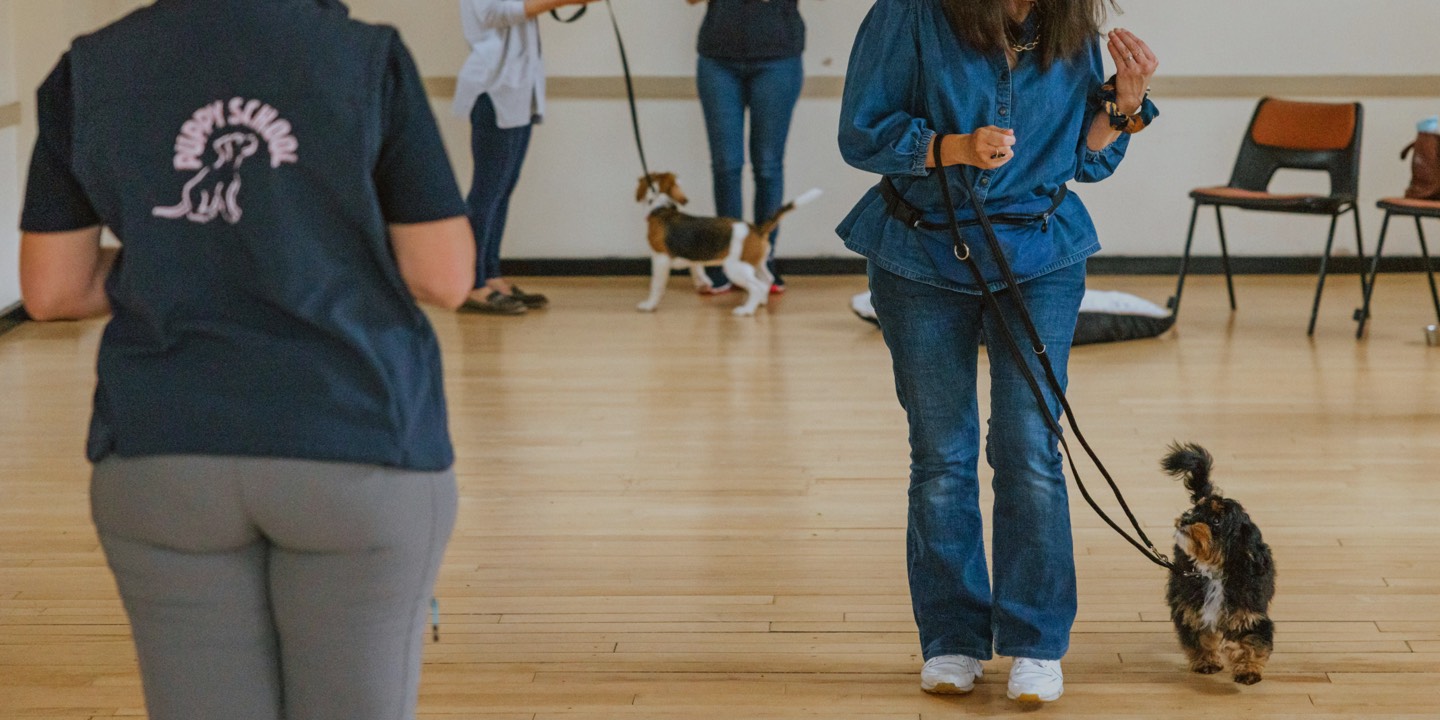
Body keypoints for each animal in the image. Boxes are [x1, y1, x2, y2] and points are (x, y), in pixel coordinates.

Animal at [633, 172, 823, 316]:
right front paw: (704, 282)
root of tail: (757, 228)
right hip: (756, 264)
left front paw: (649, 305)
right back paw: (760, 302)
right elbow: (697, 269)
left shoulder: (660, 258)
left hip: (736, 268)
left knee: (757, 286)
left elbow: (656, 285)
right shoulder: (693, 257)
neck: (661, 208)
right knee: (766, 280)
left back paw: (746, 310)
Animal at [1163, 440, 1278, 682]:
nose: (1186, 519)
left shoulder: (1251, 616)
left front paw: (1248, 670)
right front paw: (1206, 662)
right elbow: (1201, 638)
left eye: (1216, 520)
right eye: (1197, 508)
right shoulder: (1193, 609)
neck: (1215, 570)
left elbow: (1251, 644)